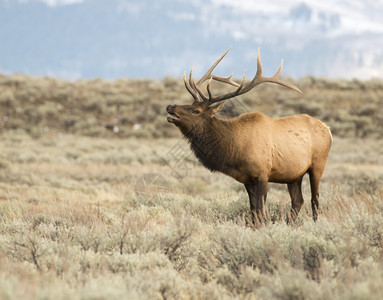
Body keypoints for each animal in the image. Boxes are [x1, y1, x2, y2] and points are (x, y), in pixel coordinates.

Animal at [166, 47, 332, 225]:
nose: (170, 106)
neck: (235, 150)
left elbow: (260, 210)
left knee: (314, 199)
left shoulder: (262, 174)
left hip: (318, 165)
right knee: (298, 201)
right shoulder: (247, 179)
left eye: (196, 111)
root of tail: (328, 129)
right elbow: (253, 211)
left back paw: (315, 223)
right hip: (294, 175)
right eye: (191, 104)